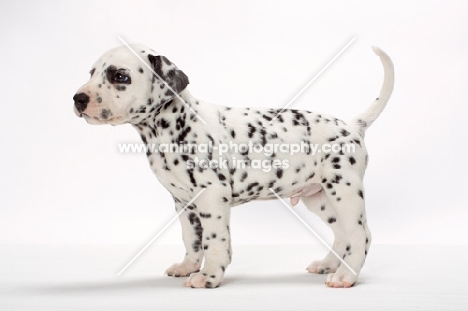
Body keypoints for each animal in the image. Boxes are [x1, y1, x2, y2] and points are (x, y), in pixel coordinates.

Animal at [74, 45, 394, 288]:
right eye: (91, 73)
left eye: (119, 76)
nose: (78, 99)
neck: (175, 126)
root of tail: (353, 124)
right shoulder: (183, 204)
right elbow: (192, 240)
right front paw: (188, 266)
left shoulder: (212, 198)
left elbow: (214, 242)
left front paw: (208, 277)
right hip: (320, 199)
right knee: (342, 235)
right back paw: (328, 265)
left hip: (345, 192)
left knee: (360, 235)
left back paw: (345, 276)